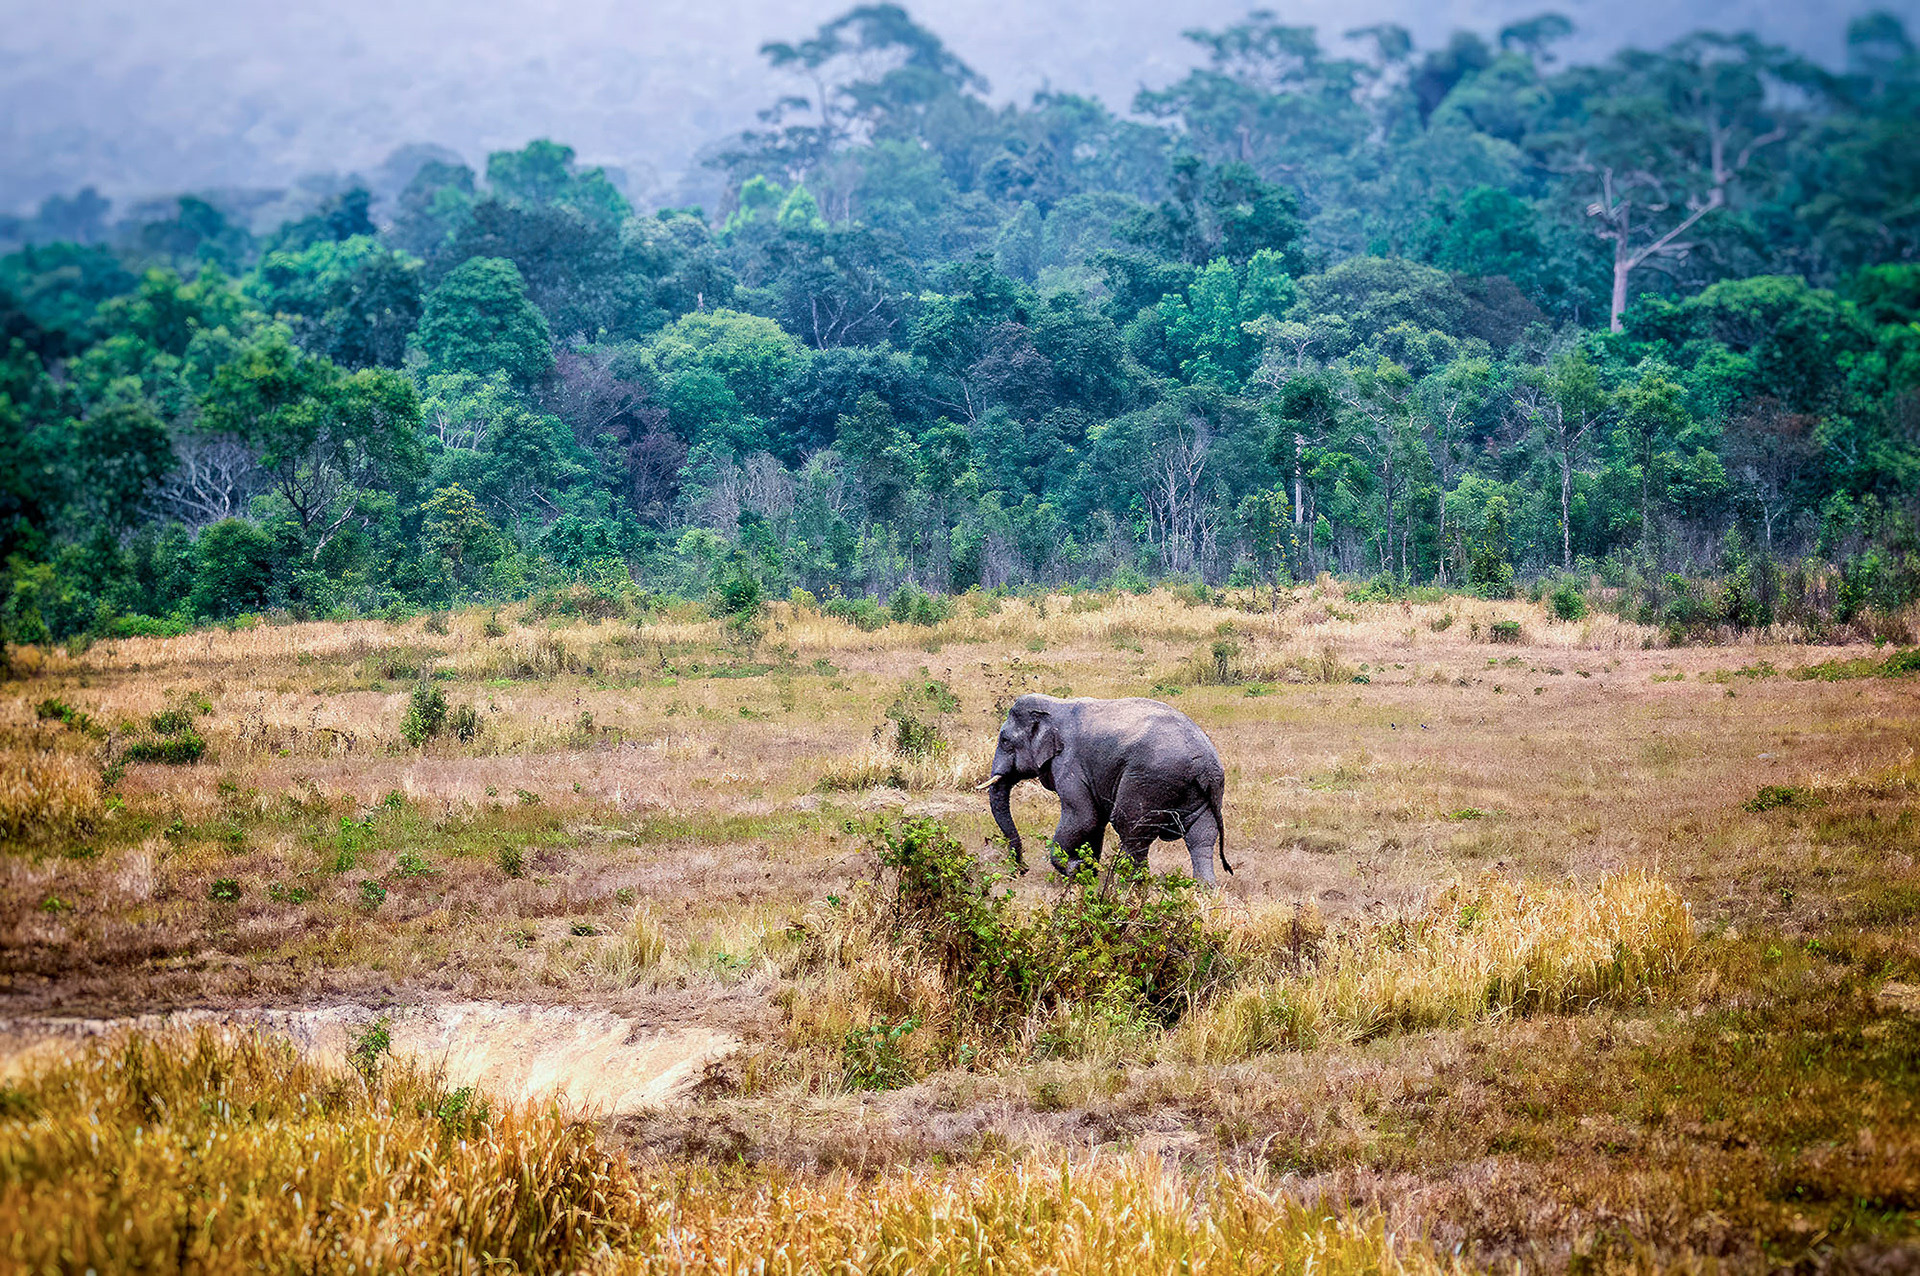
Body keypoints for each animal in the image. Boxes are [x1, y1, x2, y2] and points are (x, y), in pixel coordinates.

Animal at [978, 693, 1232, 887]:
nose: (1022, 870)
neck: (1056, 706)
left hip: (1148, 781)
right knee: (1202, 835)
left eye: (1005, 741)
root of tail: (1206, 763)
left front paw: (1076, 869)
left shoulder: (1069, 764)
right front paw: (1087, 874)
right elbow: (1094, 822)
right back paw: (1204, 889)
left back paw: (1129, 887)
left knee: (1130, 829)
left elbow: (1083, 817)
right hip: (1199, 792)